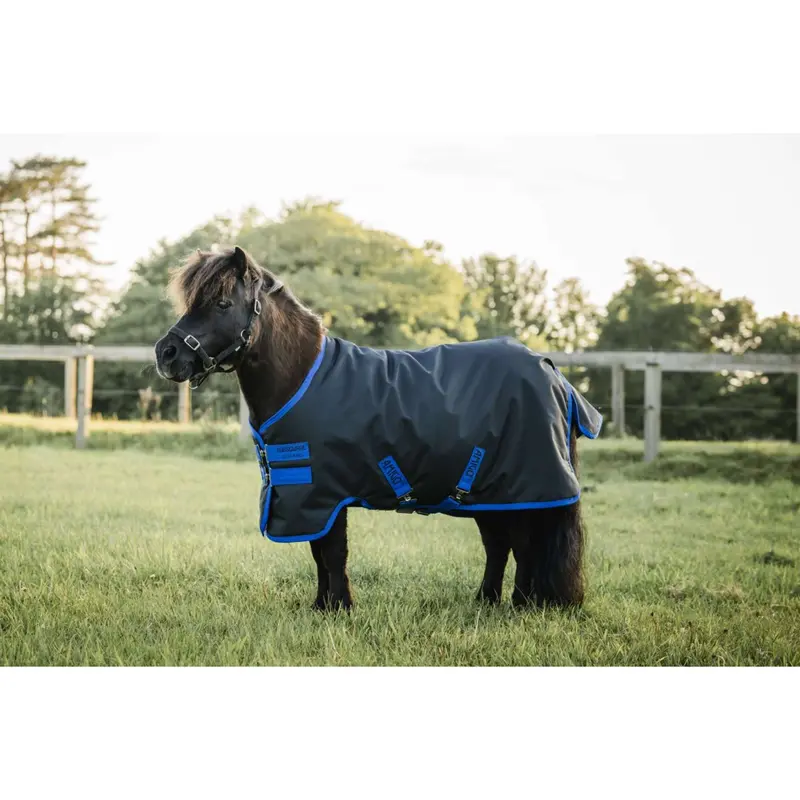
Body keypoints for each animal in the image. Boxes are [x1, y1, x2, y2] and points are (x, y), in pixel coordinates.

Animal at [154, 246, 602, 612]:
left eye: (222, 302)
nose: (166, 353)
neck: (303, 378)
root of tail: (551, 371)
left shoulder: (324, 492)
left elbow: (333, 553)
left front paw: (340, 608)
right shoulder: (313, 497)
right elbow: (320, 553)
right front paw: (322, 606)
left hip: (518, 490)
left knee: (523, 548)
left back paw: (520, 604)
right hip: (487, 492)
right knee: (499, 546)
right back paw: (486, 601)